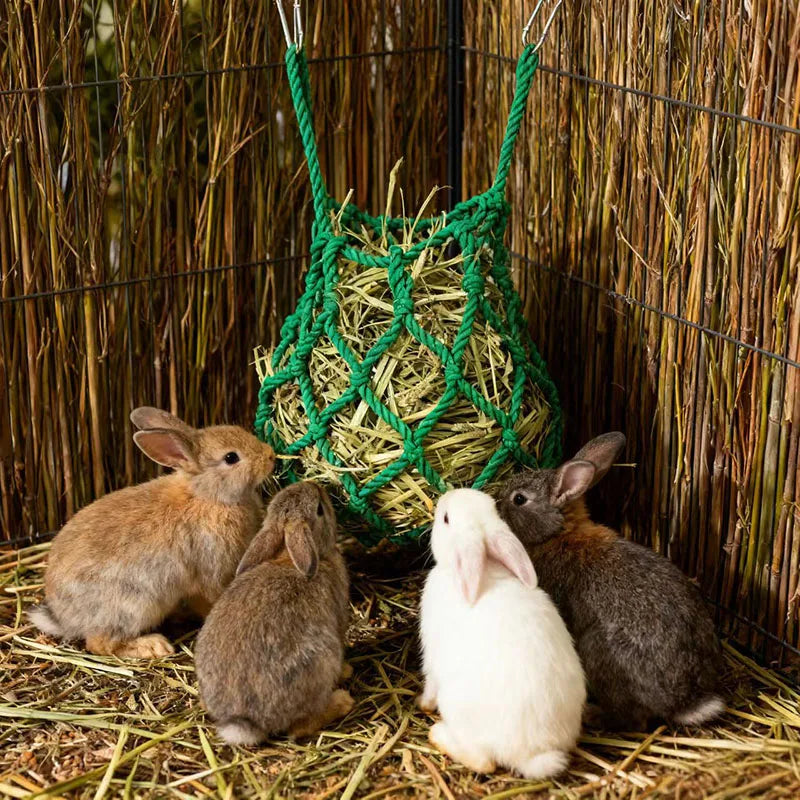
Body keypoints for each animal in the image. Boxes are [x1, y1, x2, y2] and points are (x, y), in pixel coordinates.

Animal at [28, 407, 275, 659]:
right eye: (231, 458)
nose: (270, 455)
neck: (207, 496)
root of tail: (63, 618)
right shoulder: (210, 572)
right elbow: (212, 599)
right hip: (133, 606)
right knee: (100, 644)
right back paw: (153, 646)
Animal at [194, 481, 352, 745]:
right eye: (319, 509)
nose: (315, 484)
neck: (288, 557)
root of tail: (245, 721)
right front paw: (346, 670)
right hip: (320, 662)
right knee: (301, 726)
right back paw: (342, 702)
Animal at [418, 488, 586, 779]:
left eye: (446, 519)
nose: (446, 495)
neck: (485, 572)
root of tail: (531, 754)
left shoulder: (431, 656)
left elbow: (429, 683)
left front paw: (422, 704)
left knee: (484, 762)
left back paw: (438, 735)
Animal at [495, 432, 726, 731]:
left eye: (519, 499)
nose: (496, 502)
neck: (558, 534)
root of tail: (684, 701)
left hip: (598, 651)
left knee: (634, 721)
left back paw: (594, 715)